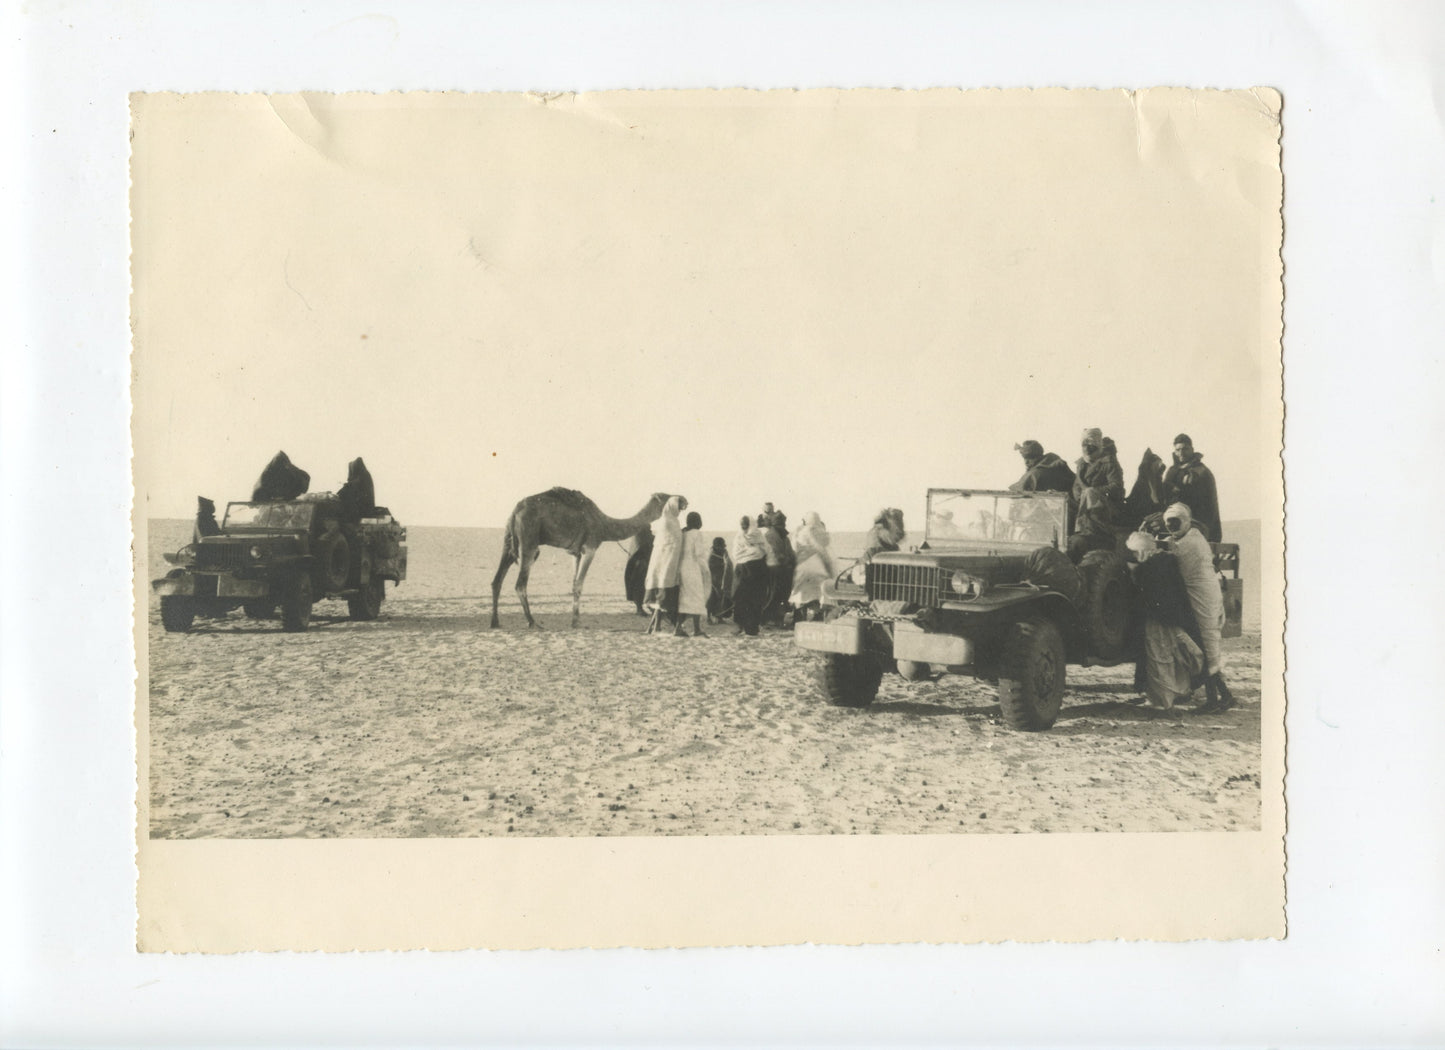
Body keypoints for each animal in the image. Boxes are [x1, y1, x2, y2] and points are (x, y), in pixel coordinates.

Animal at [488, 488, 679, 629]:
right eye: (665, 497)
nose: (682, 499)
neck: (604, 524)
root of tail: (515, 511)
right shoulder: (590, 547)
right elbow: (580, 584)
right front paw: (576, 622)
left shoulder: (576, 552)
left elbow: (574, 583)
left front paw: (575, 619)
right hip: (529, 540)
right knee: (520, 583)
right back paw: (532, 622)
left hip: (508, 540)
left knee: (497, 580)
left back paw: (495, 622)